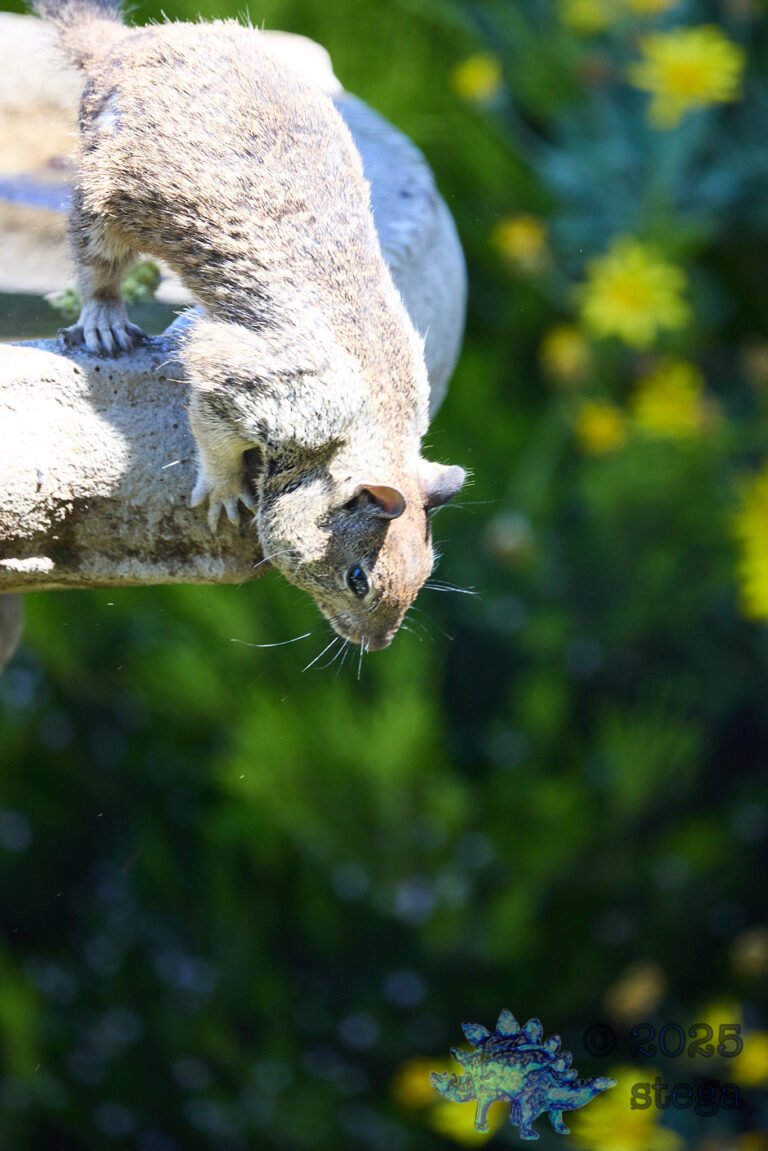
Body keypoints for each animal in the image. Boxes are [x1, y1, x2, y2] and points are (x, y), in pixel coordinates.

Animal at [29, 0, 466, 650]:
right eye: (358, 577)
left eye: (429, 567)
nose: (378, 644)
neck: (371, 416)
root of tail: (124, 45)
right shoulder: (248, 381)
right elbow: (211, 424)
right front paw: (225, 489)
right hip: (101, 196)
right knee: (97, 268)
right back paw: (104, 318)